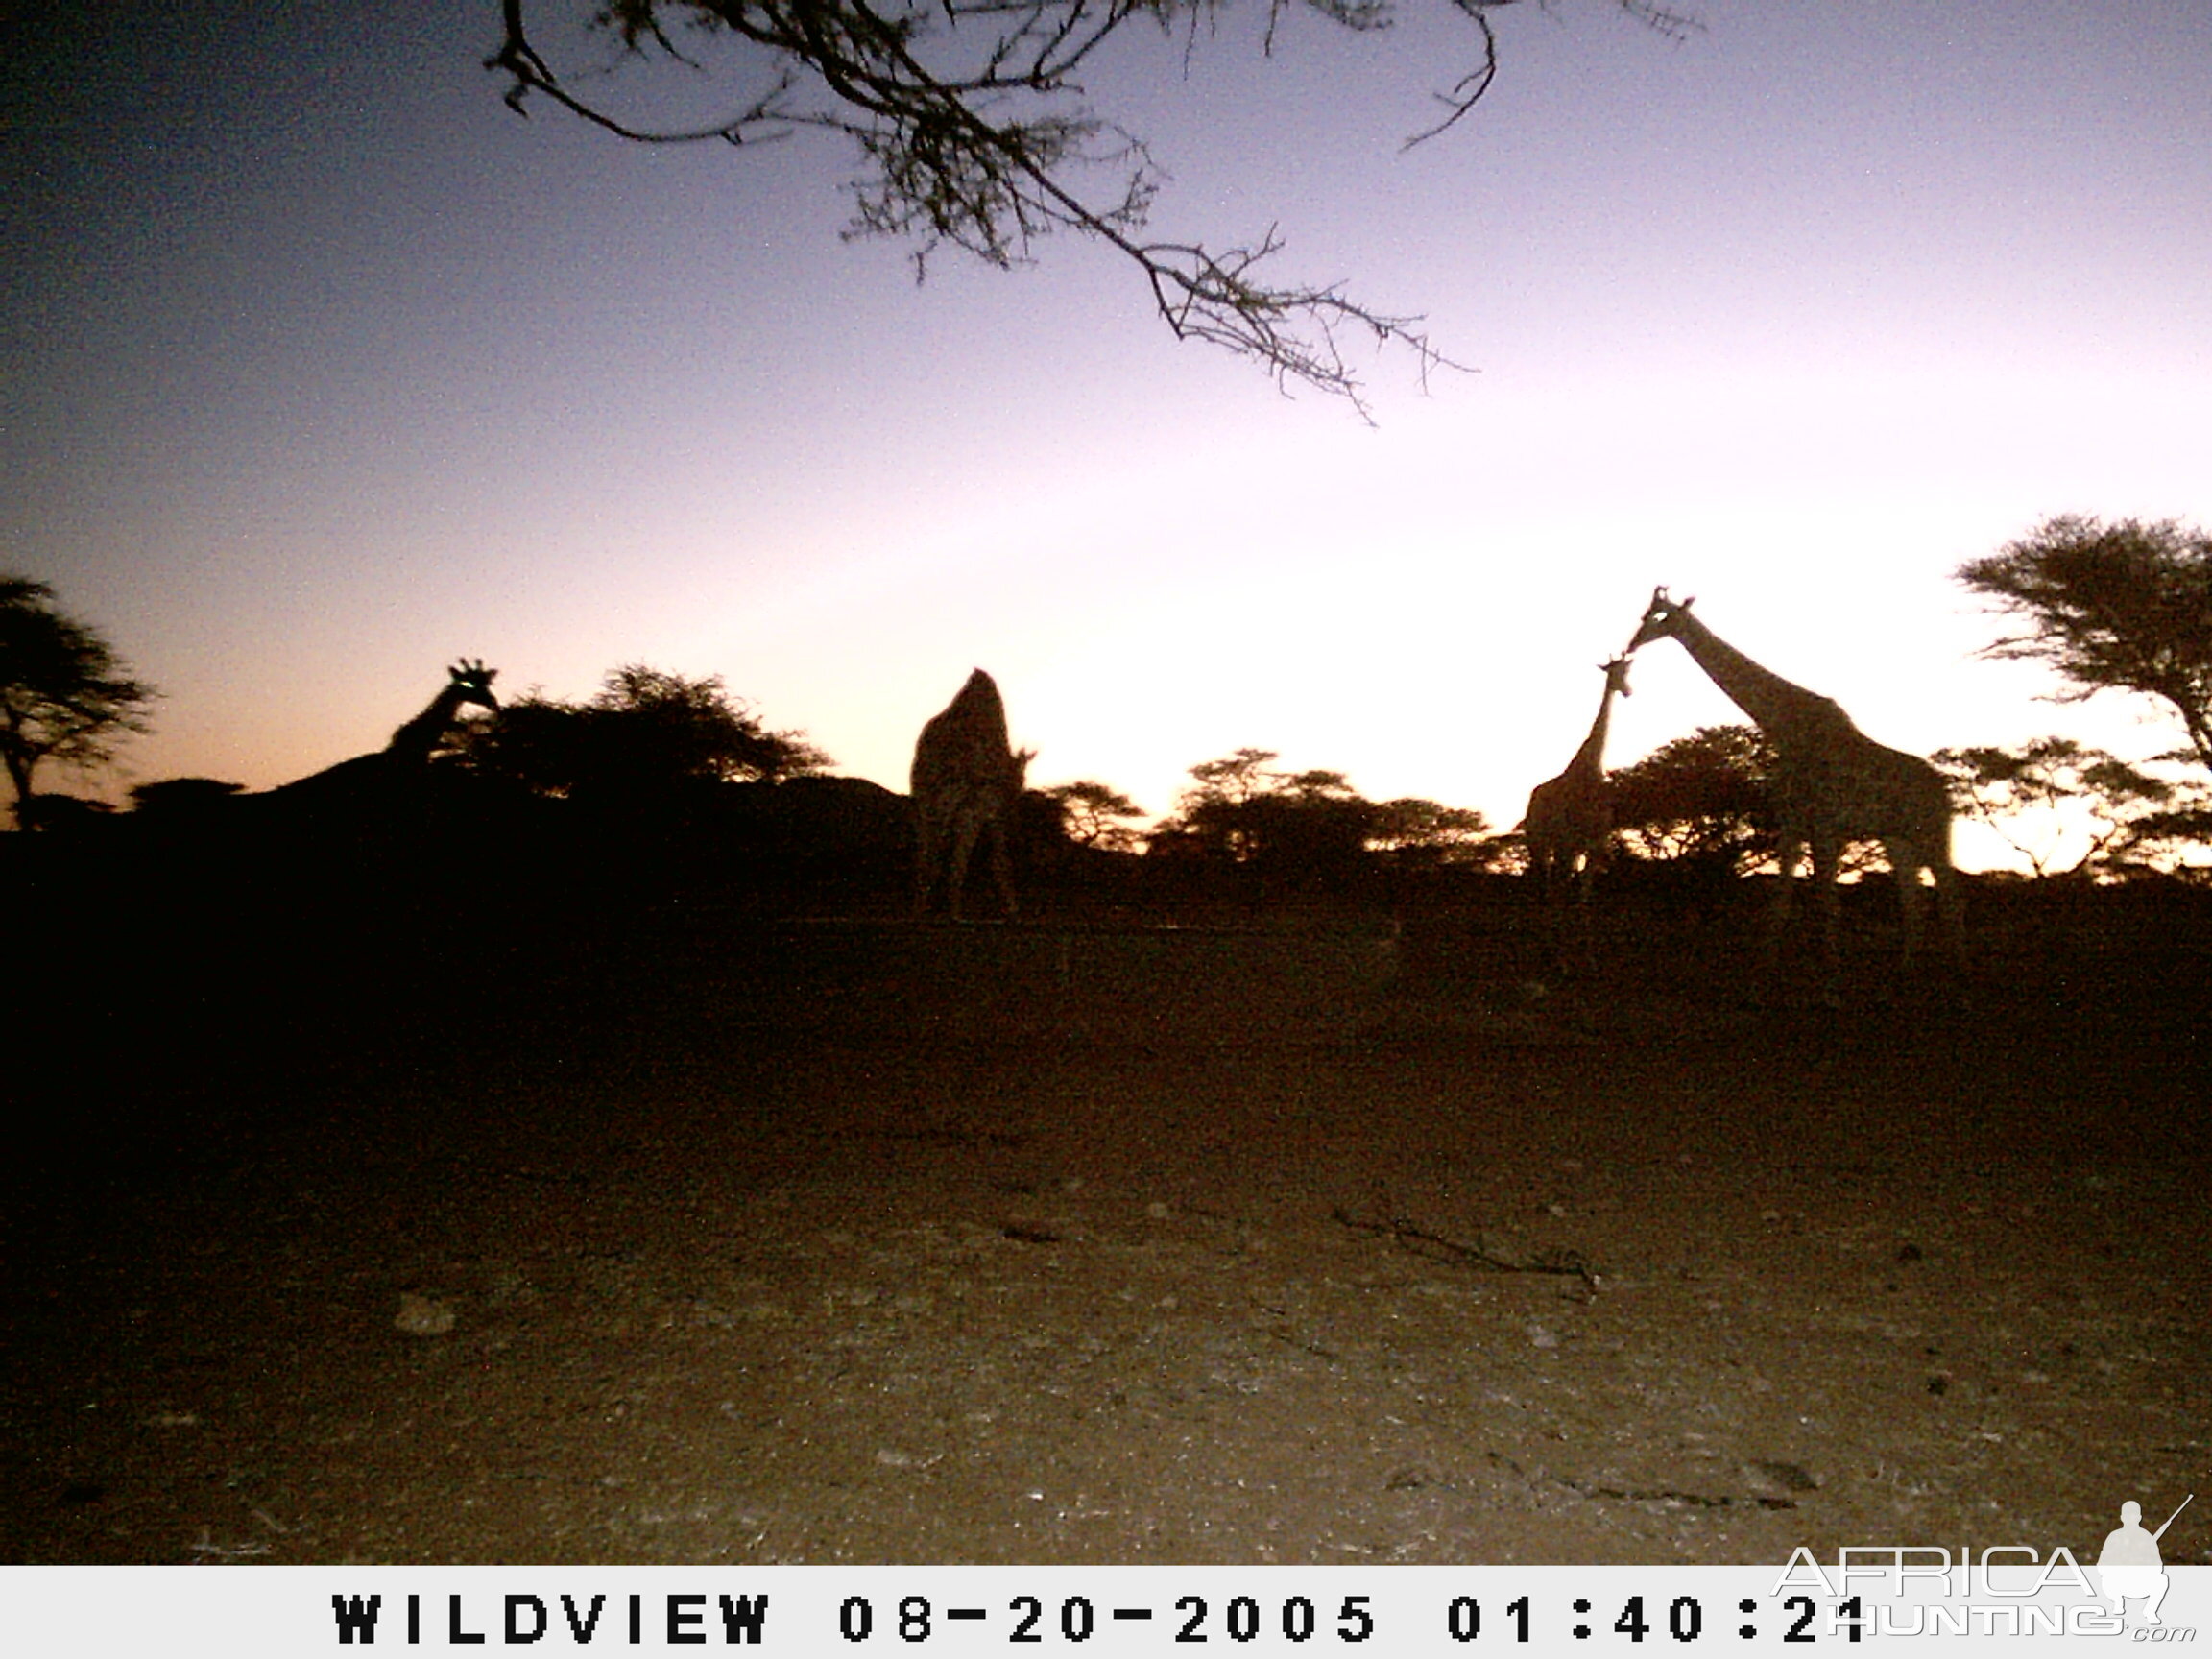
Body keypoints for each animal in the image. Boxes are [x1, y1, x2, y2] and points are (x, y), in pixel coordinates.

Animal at [902, 672, 1030, 925]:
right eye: (1022, 779)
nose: (1015, 801)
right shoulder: (990, 810)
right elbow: (999, 858)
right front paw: (1013, 912)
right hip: (959, 805)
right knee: (945, 854)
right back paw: (950, 913)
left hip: (925, 802)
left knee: (928, 853)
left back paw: (922, 911)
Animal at [1522, 654, 1646, 902]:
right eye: (1613, 672)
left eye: (1626, 672)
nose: (1627, 691)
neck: (1590, 768)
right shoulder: (1570, 838)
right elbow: (1567, 885)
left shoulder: (1596, 840)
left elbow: (1584, 889)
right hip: (1538, 838)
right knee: (1545, 878)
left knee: (1554, 879)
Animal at [1627, 588, 1955, 981]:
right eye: (1644, 615)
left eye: (1662, 617)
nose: (1631, 644)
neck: (1784, 727)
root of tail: (1946, 794)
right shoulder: (1792, 823)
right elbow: (1782, 900)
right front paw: (1768, 969)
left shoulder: (1826, 827)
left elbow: (1827, 903)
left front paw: (1831, 977)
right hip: (1898, 839)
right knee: (1913, 902)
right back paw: (1908, 972)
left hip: (1934, 835)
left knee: (1951, 899)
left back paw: (1960, 972)